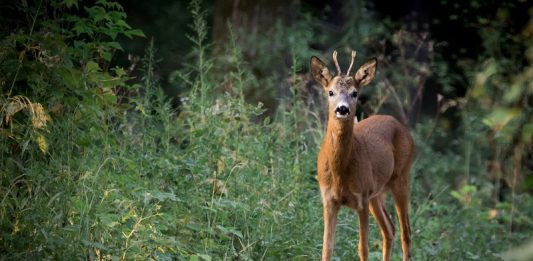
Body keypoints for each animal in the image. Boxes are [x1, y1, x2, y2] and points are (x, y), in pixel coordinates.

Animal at [310, 49, 414, 258]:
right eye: (330, 92)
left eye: (355, 93)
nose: (342, 109)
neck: (340, 173)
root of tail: (402, 127)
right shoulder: (328, 200)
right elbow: (327, 247)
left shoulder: (362, 198)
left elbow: (362, 248)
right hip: (377, 193)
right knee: (389, 229)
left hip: (400, 178)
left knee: (405, 232)